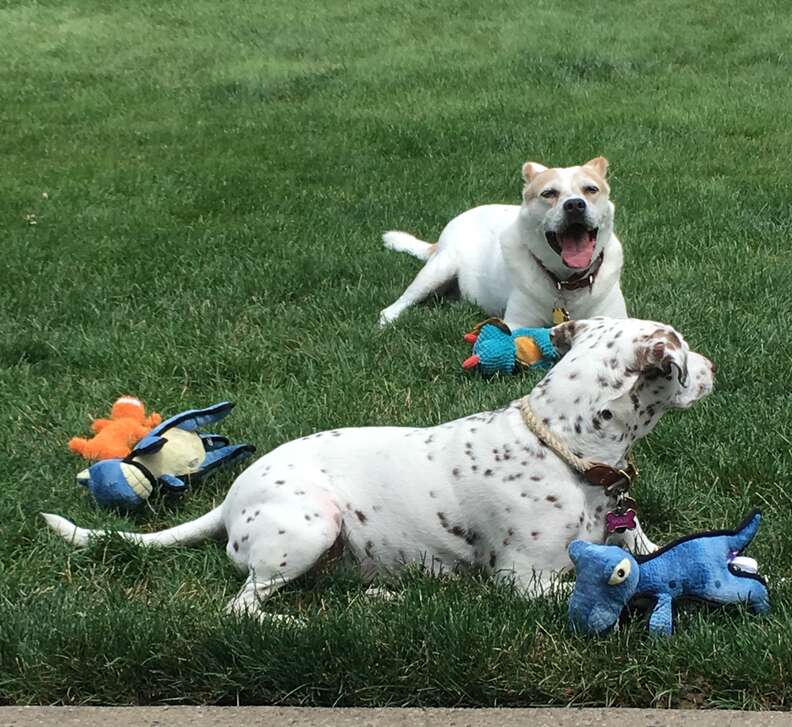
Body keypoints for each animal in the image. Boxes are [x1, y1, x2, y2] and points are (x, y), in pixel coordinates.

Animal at [380, 159, 628, 330]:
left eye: (591, 189)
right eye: (549, 193)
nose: (575, 205)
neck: (566, 283)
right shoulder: (517, 325)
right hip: (439, 269)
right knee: (398, 303)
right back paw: (387, 320)